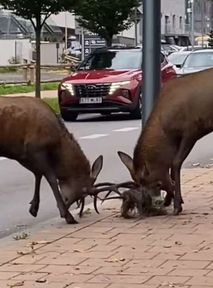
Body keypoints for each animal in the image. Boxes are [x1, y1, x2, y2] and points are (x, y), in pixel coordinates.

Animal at [0, 95, 112, 224]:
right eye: (83, 190)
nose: (68, 204)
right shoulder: (35, 149)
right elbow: (51, 178)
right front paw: (67, 215)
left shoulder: (23, 155)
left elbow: (38, 174)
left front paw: (34, 208)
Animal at [117, 68, 213, 214]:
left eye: (157, 184)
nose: (145, 204)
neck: (167, 131)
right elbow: (172, 167)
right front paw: (172, 200)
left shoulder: (191, 130)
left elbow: (175, 163)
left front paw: (177, 205)